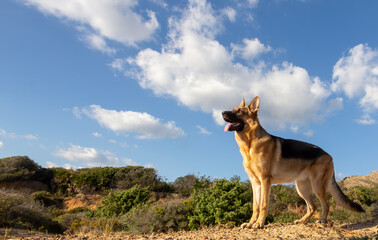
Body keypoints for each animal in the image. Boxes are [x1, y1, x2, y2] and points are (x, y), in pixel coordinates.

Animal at [221, 96, 364, 229]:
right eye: (233, 109)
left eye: (239, 111)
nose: (222, 112)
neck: (250, 144)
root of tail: (328, 155)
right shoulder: (255, 183)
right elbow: (255, 206)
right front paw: (251, 223)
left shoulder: (265, 181)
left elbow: (263, 205)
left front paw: (259, 223)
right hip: (302, 188)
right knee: (312, 207)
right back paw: (302, 221)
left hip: (317, 186)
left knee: (325, 205)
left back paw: (322, 221)